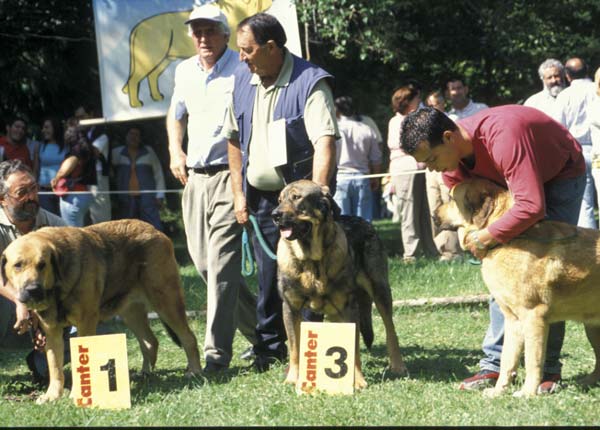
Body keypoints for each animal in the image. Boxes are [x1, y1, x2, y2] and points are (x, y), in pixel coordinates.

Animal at [1, 220, 203, 404]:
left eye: (42, 264)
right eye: (18, 265)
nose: (33, 289)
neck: (58, 288)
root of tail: (156, 231)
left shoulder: (85, 324)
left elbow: (79, 363)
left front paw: (78, 393)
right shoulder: (51, 331)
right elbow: (55, 367)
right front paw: (52, 395)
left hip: (166, 302)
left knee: (188, 338)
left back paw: (194, 371)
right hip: (131, 313)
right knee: (150, 341)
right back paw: (144, 373)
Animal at [272, 180, 408, 388]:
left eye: (297, 197)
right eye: (279, 200)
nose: (275, 215)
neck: (312, 261)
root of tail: (365, 221)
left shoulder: (349, 307)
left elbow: (354, 349)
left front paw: (357, 380)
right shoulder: (290, 307)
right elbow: (295, 348)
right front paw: (293, 378)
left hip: (380, 290)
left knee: (390, 330)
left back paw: (398, 365)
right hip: (336, 312)